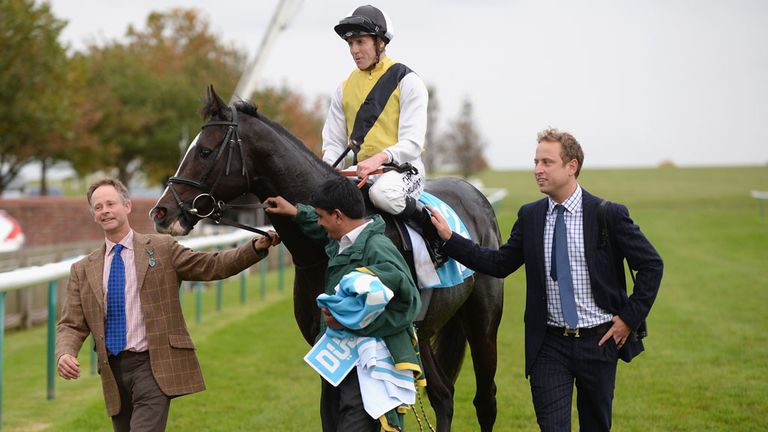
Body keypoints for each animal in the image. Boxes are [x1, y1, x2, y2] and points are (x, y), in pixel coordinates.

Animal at [152, 86, 508, 430]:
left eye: (205, 151)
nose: (161, 212)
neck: (327, 247)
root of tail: (474, 195)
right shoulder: (323, 343)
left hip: (482, 323)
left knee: (484, 400)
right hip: (425, 334)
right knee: (444, 395)